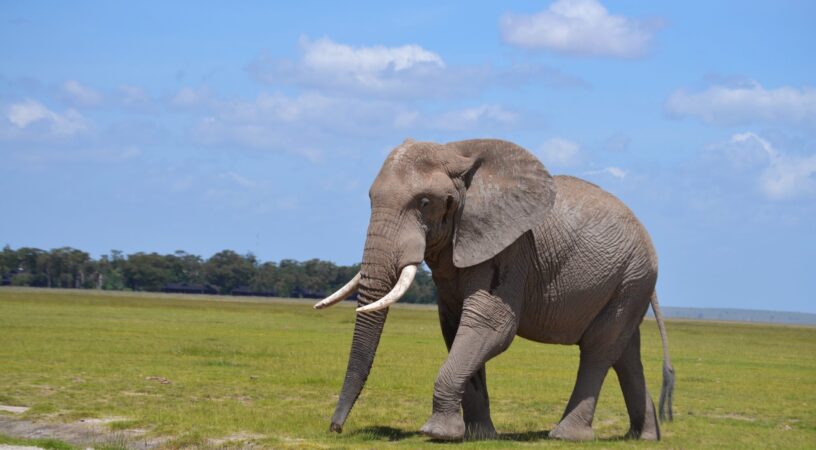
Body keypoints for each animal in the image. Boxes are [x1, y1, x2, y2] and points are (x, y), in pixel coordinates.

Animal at [314, 138, 675, 441]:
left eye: (425, 202)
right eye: (370, 199)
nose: (335, 428)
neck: (457, 155)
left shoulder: (511, 251)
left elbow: (491, 326)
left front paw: (437, 434)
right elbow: (456, 328)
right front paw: (478, 436)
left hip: (631, 276)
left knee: (599, 349)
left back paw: (566, 436)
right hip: (629, 282)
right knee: (625, 352)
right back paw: (643, 437)